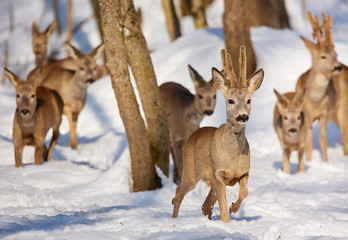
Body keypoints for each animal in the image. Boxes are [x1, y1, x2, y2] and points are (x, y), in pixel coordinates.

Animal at [171, 46, 264, 222]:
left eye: (249, 100)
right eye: (230, 100)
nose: (243, 116)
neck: (233, 156)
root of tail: (195, 132)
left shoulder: (243, 172)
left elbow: (244, 192)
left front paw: (234, 207)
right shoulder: (219, 174)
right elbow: (223, 209)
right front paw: (227, 220)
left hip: (210, 181)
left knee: (205, 205)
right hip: (191, 170)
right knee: (179, 192)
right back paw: (173, 218)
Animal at [294, 10, 342, 163]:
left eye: (336, 54)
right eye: (323, 56)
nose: (338, 67)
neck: (315, 100)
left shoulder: (324, 114)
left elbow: (323, 141)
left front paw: (325, 162)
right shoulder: (306, 115)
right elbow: (308, 142)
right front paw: (309, 162)